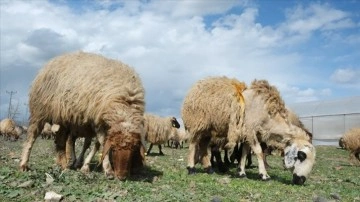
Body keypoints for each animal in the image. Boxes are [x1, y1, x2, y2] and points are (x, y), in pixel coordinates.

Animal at [19, 51, 146, 180]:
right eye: (114, 148)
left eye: (134, 148)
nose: (122, 177)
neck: (125, 103)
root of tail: (53, 60)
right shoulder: (97, 122)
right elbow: (102, 143)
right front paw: (108, 170)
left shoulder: (97, 123)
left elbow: (95, 145)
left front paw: (85, 165)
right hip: (39, 111)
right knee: (32, 136)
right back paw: (25, 164)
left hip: (63, 119)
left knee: (61, 142)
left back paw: (63, 164)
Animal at [183, 76, 316, 185]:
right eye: (301, 155)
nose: (301, 181)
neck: (268, 115)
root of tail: (194, 87)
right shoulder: (250, 129)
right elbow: (258, 151)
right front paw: (264, 175)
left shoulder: (249, 133)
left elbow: (245, 152)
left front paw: (241, 172)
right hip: (197, 123)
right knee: (193, 144)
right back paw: (191, 168)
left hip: (208, 129)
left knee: (203, 146)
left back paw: (209, 169)